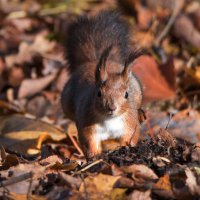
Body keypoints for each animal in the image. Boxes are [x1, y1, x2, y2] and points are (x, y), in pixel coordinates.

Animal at [61, 11, 144, 159]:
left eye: (126, 94)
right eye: (98, 93)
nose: (111, 107)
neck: (110, 121)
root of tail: (92, 62)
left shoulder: (129, 124)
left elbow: (130, 138)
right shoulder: (88, 126)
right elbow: (90, 142)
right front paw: (94, 156)